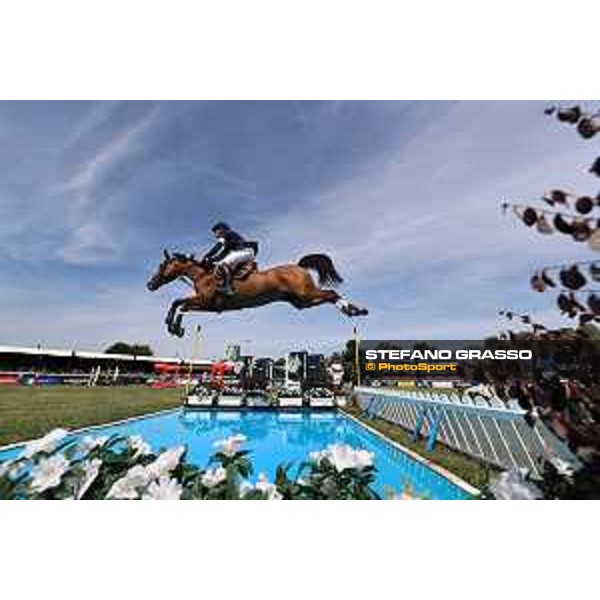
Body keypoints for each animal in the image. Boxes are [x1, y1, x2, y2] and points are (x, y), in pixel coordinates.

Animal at [148, 247, 368, 336]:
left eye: (161, 266)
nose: (150, 284)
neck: (203, 275)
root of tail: (299, 266)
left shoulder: (207, 302)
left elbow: (179, 303)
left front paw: (172, 326)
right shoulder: (205, 305)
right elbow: (180, 305)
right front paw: (175, 327)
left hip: (306, 294)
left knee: (331, 294)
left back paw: (353, 309)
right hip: (301, 302)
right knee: (327, 297)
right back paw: (355, 310)